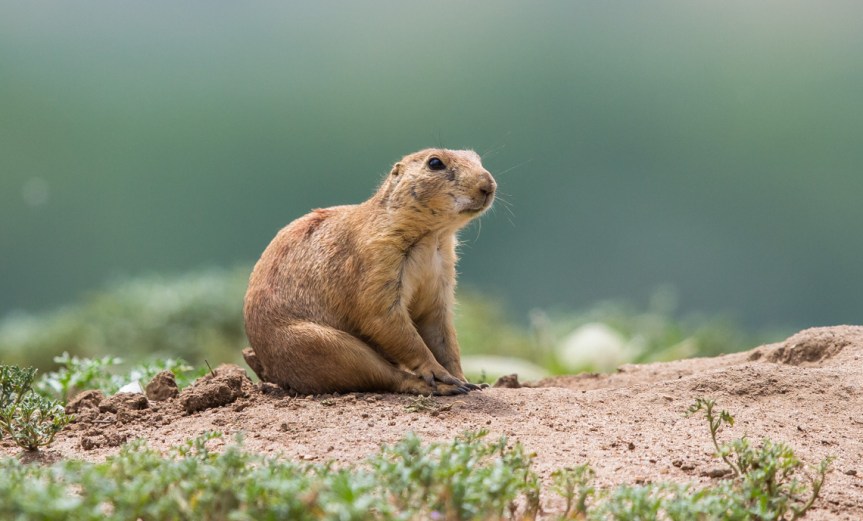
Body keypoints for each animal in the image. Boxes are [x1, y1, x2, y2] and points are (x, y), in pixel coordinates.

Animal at [243, 148, 496, 396]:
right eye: (435, 163)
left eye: (476, 157)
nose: (489, 185)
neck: (433, 238)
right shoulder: (377, 260)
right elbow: (383, 316)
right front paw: (441, 373)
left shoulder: (441, 273)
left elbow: (441, 331)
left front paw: (466, 380)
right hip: (322, 346)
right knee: (387, 376)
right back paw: (433, 386)